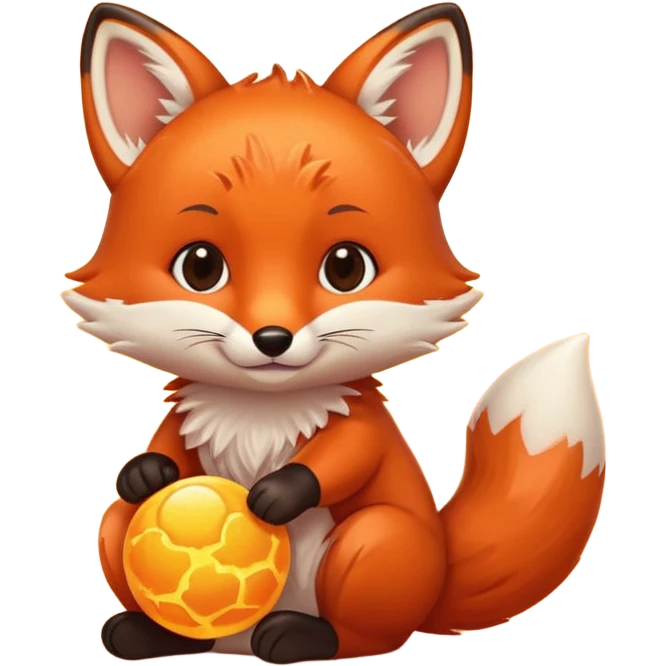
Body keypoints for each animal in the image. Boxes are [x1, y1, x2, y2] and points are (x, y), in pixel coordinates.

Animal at [63, 2, 608, 664]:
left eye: (345, 267)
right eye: (200, 267)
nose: (272, 338)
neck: (260, 415)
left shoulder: (358, 424)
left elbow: (344, 457)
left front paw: (280, 492)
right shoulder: (187, 424)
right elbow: (162, 449)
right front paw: (145, 471)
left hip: (377, 544)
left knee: (363, 633)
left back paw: (300, 635)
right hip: (116, 529)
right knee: (126, 529)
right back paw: (147, 632)